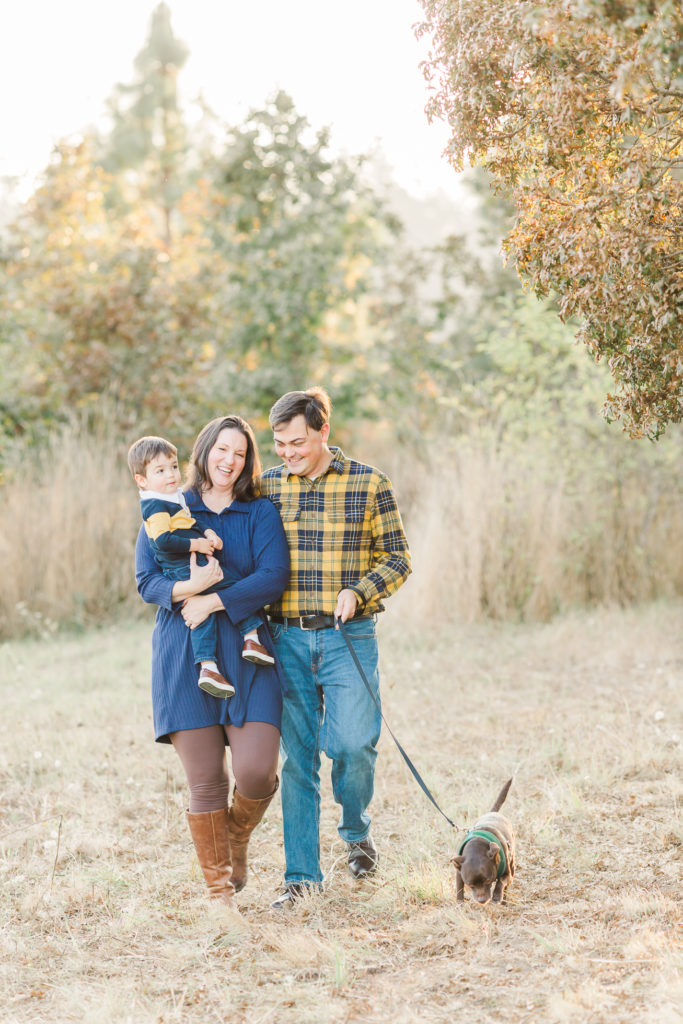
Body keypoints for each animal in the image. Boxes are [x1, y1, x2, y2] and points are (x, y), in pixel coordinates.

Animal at [450, 774, 516, 905]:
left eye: (487, 881)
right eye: (470, 884)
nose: (481, 901)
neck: (477, 846)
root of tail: (493, 812)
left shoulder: (507, 875)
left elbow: (501, 882)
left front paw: (497, 895)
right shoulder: (459, 874)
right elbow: (459, 889)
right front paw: (459, 903)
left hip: (512, 864)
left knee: (506, 885)